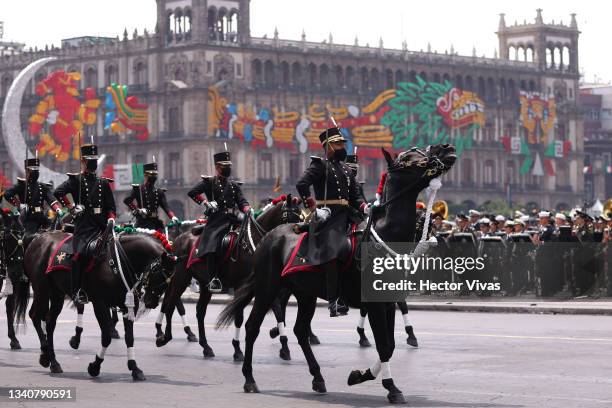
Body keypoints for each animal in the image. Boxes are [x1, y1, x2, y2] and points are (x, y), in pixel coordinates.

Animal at [155, 194, 304, 360]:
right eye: (291, 216)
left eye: (301, 216)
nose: (298, 245)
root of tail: (177, 240)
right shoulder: (240, 285)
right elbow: (239, 317)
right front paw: (238, 349)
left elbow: (278, 312)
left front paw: (284, 347)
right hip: (181, 277)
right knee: (171, 302)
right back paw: (165, 337)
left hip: (204, 283)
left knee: (199, 311)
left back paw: (205, 346)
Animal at [219, 145, 454, 404]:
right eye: (410, 159)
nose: (447, 149)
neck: (384, 235)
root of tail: (268, 237)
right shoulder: (375, 304)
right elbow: (383, 345)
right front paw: (391, 387)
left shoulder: (388, 301)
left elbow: (390, 345)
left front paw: (360, 375)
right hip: (267, 288)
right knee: (252, 326)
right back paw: (249, 378)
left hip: (305, 293)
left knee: (300, 330)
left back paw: (317, 377)